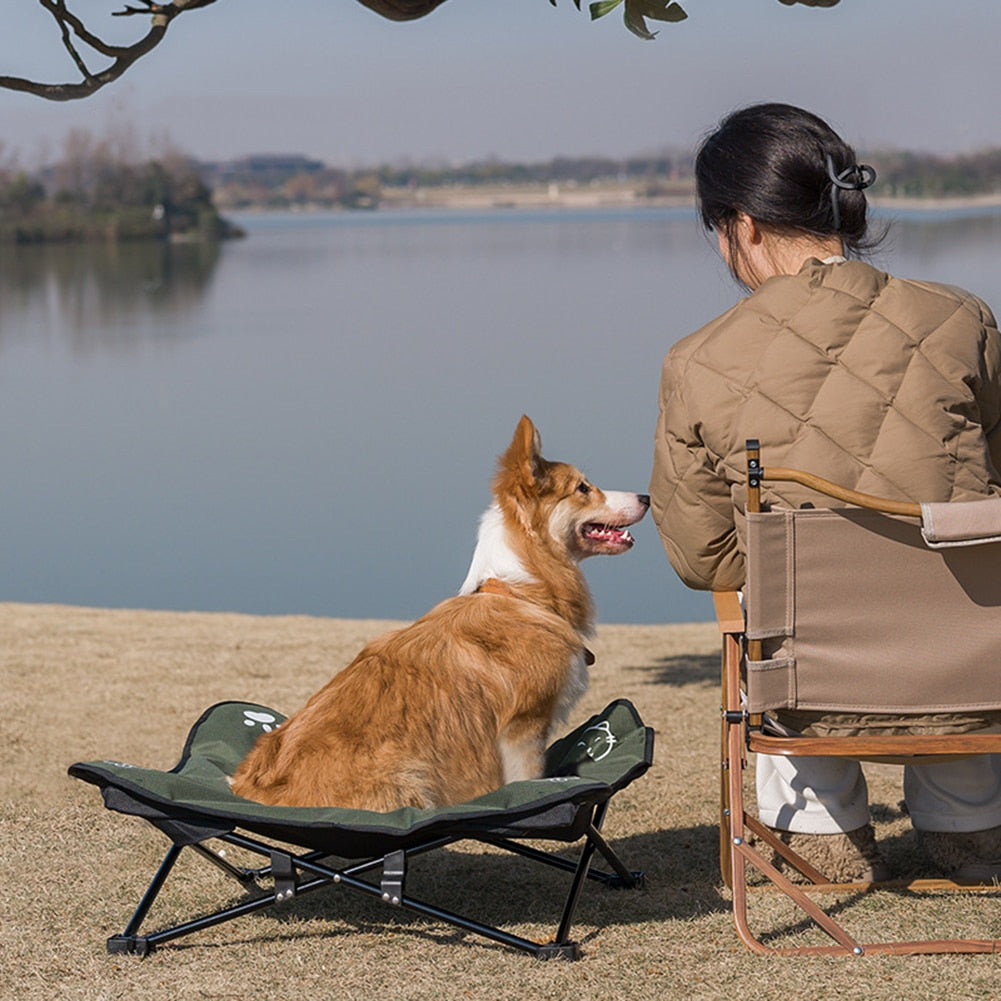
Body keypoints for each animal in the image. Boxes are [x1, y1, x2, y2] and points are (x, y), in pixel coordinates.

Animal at [228, 414, 648, 812]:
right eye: (583, 488)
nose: (646, 496)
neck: (520, 590)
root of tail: (249, 788)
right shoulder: (524, 728)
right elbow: (526, 781)